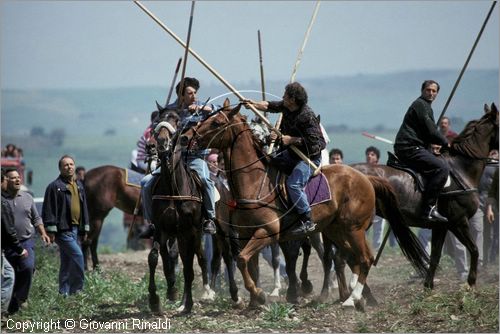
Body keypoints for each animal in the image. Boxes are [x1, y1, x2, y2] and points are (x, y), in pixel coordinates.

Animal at [181, 100, 430, 310]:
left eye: (217, 122)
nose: (186, 137)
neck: (254, 182)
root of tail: (366, 178)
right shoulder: (246, 235)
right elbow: (247, 264)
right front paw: (254, 300)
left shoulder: (268, 232)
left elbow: (243, 260)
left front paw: (260, 295)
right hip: (336, 230)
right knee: (350, 259)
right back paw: (353, 296)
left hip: (354, 229)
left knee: (364, 259)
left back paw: (352, 299)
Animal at [354, 102, 498, 290]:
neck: (462, 168)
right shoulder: (459, 221)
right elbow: (474, 249)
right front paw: (471, 282)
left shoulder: (441, 226)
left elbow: (435, 256)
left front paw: (428, 286)